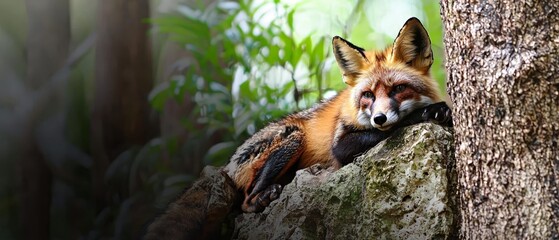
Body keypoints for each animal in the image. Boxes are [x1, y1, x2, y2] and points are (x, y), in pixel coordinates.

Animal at [222, 16, 450, 213]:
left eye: (398, 89)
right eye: (368, 95)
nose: (379, 118)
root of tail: (227, 166)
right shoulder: (340, 145)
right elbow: (395, 125)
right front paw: (429, 111)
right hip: (294, 137)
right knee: (245, 201)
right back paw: (261, 198)